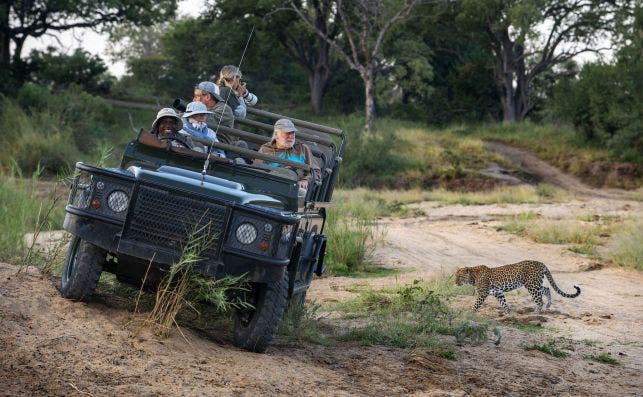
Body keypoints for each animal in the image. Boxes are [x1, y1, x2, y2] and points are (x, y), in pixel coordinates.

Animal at [452, 260, 584, 312]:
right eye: (455, 276)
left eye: (460, 276)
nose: (455, 282)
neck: (473, 277)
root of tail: (541, 263)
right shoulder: (498, 293)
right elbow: (504, 303)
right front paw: (509, 314)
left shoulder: (483, 293)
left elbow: (476, 305)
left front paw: (470, 313)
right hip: (535, 284)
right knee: (546, 289)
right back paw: (548, 305)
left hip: (532, 285)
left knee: (539, 300)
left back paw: (536, 313)